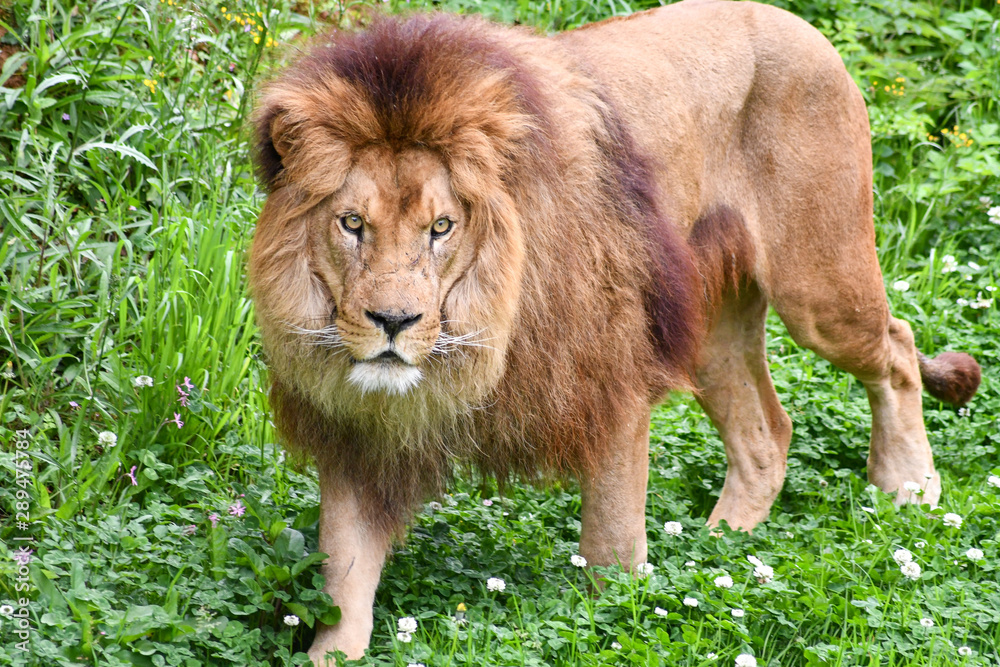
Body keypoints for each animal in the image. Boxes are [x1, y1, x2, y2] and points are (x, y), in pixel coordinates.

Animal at [247, 1, 981, 662]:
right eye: (351, 224)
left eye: (441, 227)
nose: (393, 322)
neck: (484, 335)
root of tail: (800, 25)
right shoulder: (356, 430)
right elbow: (343, 574)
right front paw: (328, 652)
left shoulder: (612, 379)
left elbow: (611, 546)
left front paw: (618, 621)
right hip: (712, 326)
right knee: (767, 433)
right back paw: (720, 550)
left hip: (820, 285)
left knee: (899, 347)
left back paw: (908, 488)